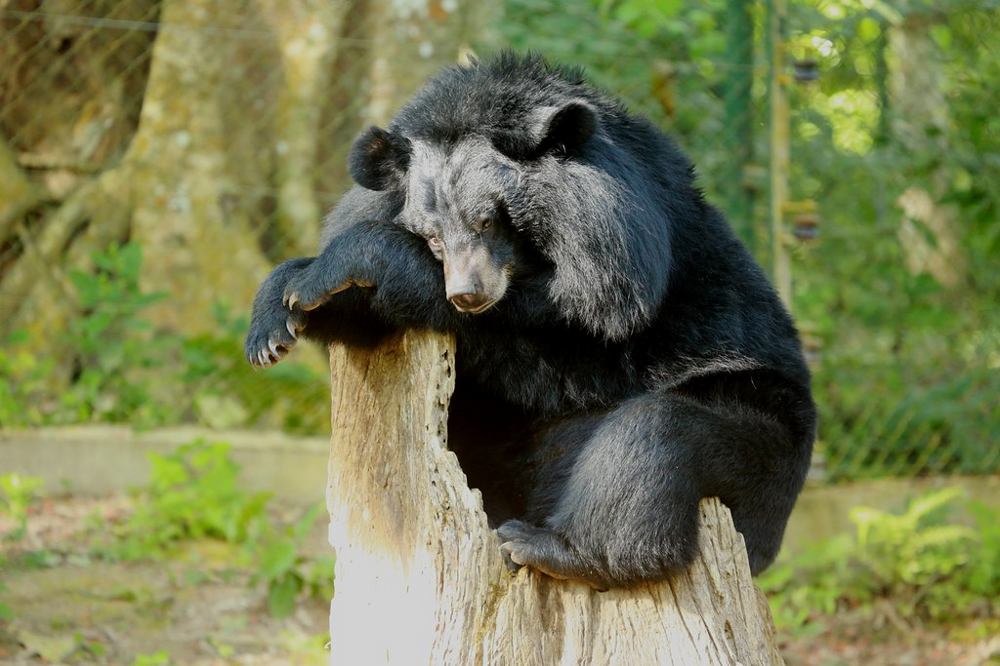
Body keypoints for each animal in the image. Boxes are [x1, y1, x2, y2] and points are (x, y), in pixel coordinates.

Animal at [246, 52, 816, 588]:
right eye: (433, 235)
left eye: (488, 221)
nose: (467, 295)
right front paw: (278, 320)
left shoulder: (624, 282)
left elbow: (575, 334)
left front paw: (340, 267)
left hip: (760, 430)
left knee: (653, 437)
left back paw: (547, 545)